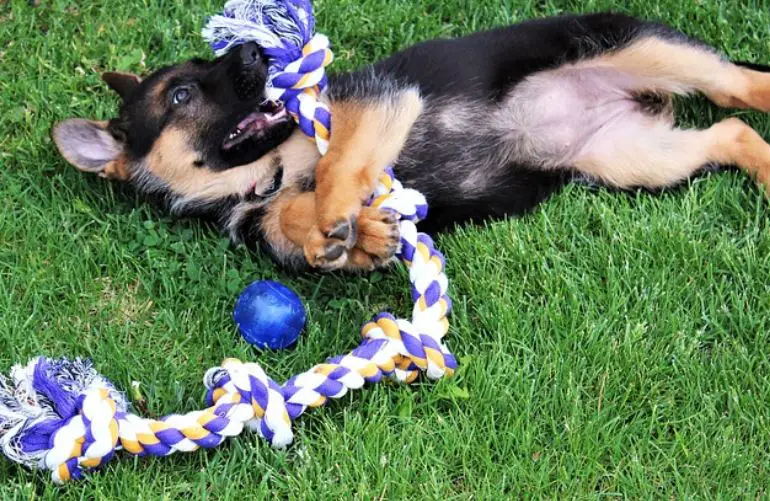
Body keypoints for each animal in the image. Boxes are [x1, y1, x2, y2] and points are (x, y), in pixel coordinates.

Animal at [51, 12, 768, 270]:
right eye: (179, 96)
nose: (259, 52)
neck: (263, 173)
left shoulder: (377, 103)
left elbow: (336, 169)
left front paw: (342, 217)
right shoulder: (265, 214)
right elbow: (296, 224)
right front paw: (352, 236)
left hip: (640, 49)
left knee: (738, 87)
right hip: (632, 157)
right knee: (730, 131)